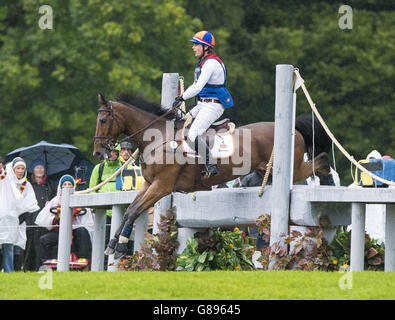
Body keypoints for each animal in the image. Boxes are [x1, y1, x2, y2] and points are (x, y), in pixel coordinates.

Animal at [93, 92, 332, 258]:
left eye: (103, 121)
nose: (98, 152)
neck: (159, 138)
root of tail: (294, 130)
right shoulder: (149, 184)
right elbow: (129, 211)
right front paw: (114, 245)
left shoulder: (162, 186)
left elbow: (134, 211)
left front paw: (120, 245)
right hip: (269, 170)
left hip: (291, 169)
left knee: (320, 160)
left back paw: (328, 183)